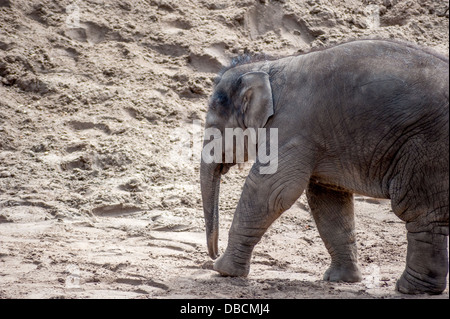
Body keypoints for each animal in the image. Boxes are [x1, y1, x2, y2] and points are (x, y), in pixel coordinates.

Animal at [201, 39, 450, 296]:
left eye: (212, 126)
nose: (211, 256)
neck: (270, 65)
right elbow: (328, 199)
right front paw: (340, 279)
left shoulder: (293, 127)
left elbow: (271, 189)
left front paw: (223, 271)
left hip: (427, 146)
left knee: (419, 211)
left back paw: (410, 289)